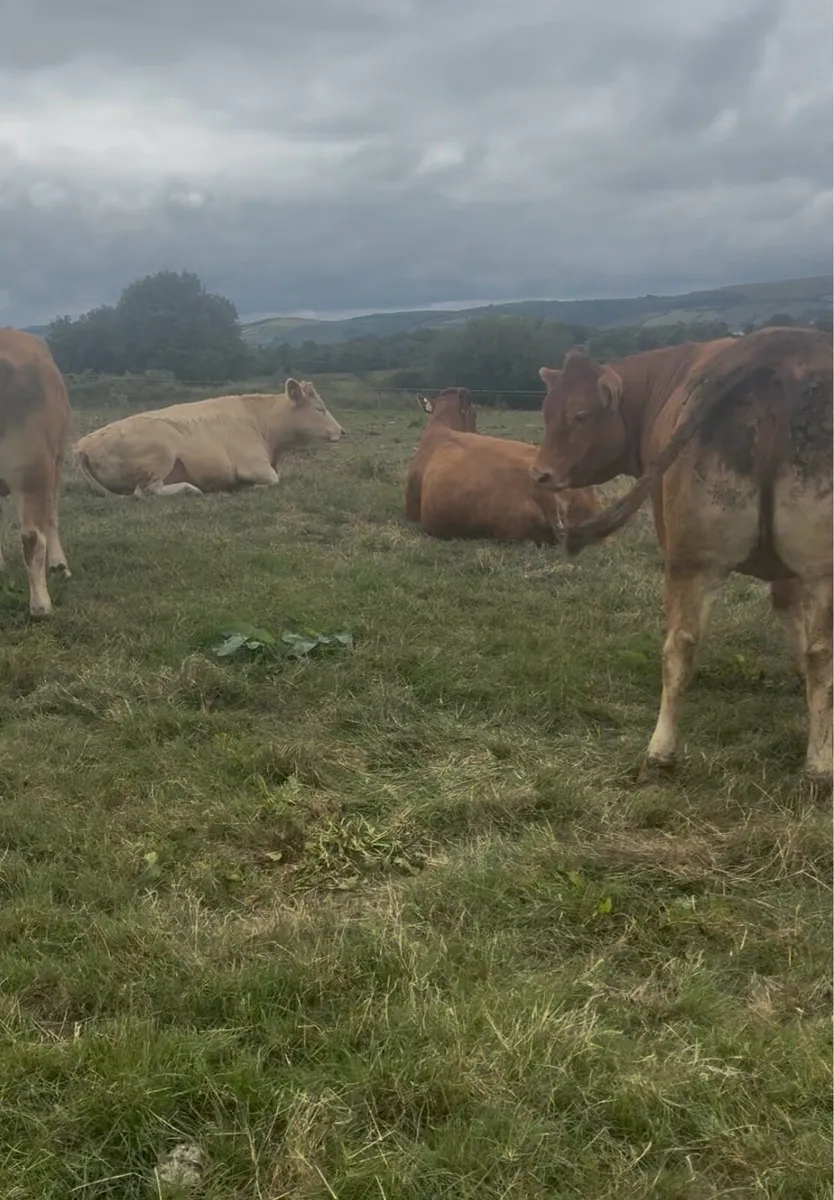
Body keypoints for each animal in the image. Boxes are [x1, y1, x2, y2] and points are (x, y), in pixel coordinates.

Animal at [73, 379, 346, 497]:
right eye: (320, 409)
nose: (343, 431)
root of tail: (83, 445)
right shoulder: (253, 465)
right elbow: (272, 479)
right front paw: (246, 487)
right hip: (162, 455)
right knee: (145, 491)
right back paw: (190, 488)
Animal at [529, 327, 833, 783]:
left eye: (580, 415)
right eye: (546, 412)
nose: (539, 473)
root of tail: (781, 344)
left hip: (693, 557)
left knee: (682, 647)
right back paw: (818, 764)